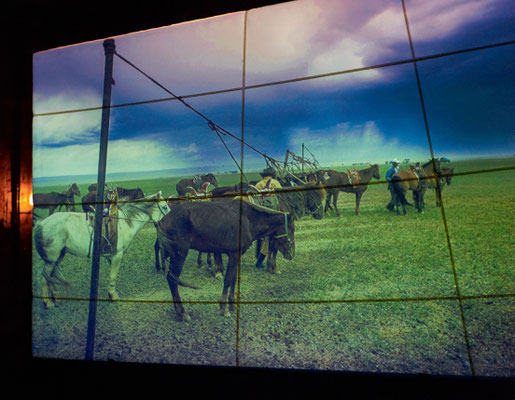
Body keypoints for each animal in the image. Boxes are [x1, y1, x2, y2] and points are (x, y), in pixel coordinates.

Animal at [34, 191, 171, 306]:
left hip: (58, 256)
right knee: (44, 277)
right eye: (164, 207)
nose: (170, 221)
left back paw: (55, 297)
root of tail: (40, 224)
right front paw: (113, 295)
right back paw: (48, 302)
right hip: (51, 259)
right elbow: (113, 276)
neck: (124, 223)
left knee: (50, 277)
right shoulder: (117, 255)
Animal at [156, 202, 294, 320]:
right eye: (291, 229)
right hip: (179, 254)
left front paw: (232, 304)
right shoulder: (233, 255)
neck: (247, 220)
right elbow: (227, 279)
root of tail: (163, 220)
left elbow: (233, 279)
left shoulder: (237, 255)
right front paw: (224, 308)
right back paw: (182, 312)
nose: (291, 254)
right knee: (172, 280)